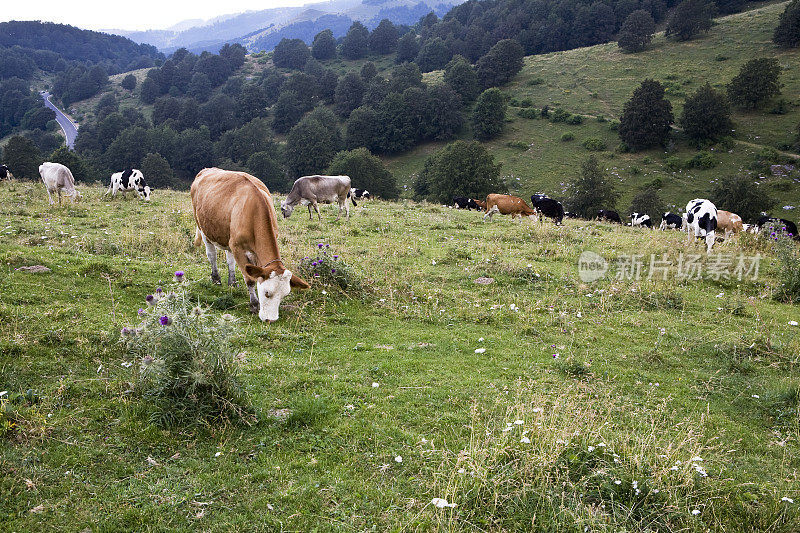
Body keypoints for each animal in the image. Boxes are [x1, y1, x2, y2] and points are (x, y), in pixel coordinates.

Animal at [191, 168, 310, 322]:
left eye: (284, 296)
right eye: (267, 293)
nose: (271, 320)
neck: (254, 211)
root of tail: (206, 170)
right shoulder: (238, 248)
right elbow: (250, 280)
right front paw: (254, 305)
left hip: (228, 236)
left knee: (229, 258)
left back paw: (232, 282)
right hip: (203, 228)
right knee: (212, 255)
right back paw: (216, 279)